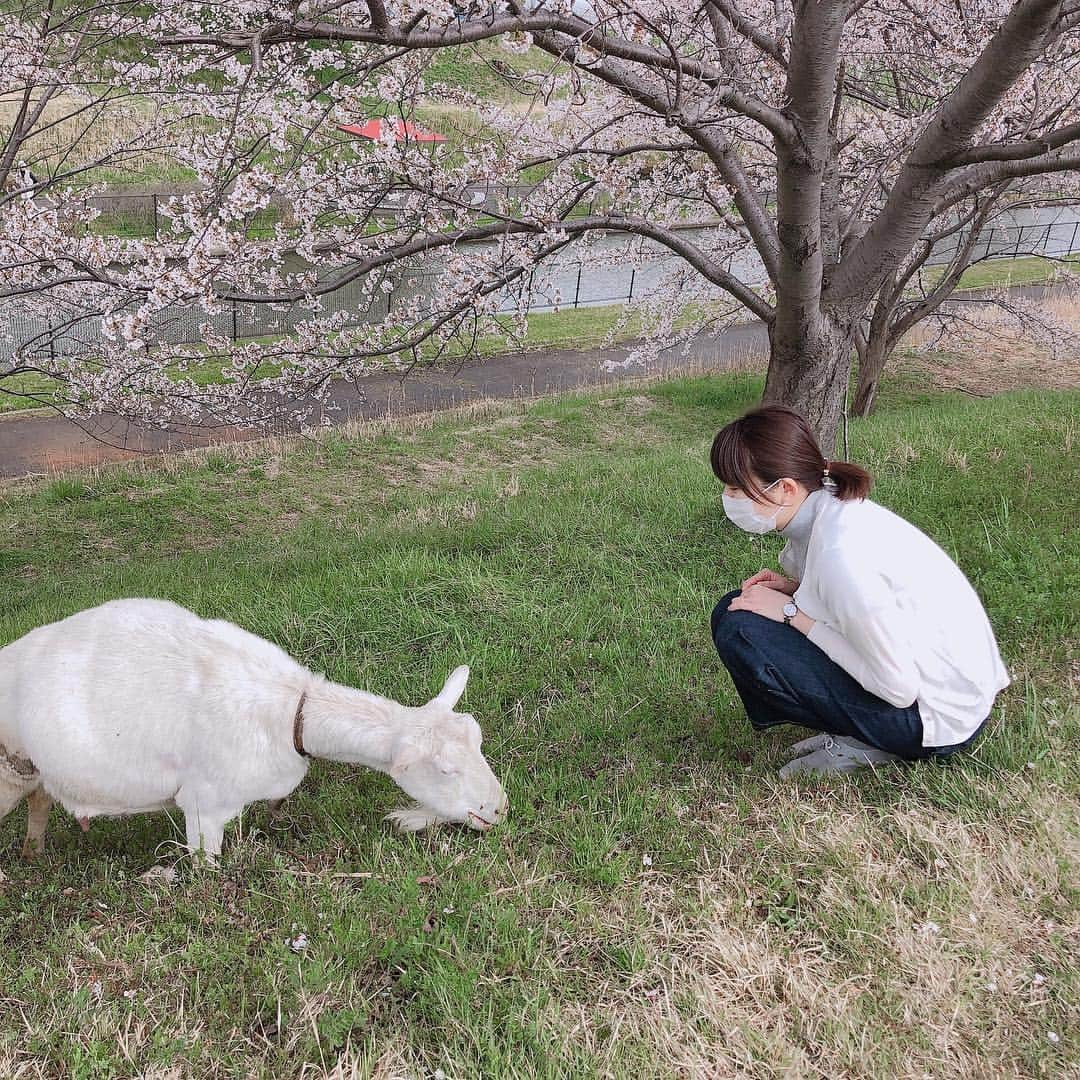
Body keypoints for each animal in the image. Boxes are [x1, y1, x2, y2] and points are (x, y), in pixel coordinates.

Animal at [0, 596, 507, 864]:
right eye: (445, 769)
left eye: (479, 742)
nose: (500, 809)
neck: (291, 711)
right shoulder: (203, 802)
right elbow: (206, 866)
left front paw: (409, 818)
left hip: (36, 770)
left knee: (41, 800)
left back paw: (33, 852)